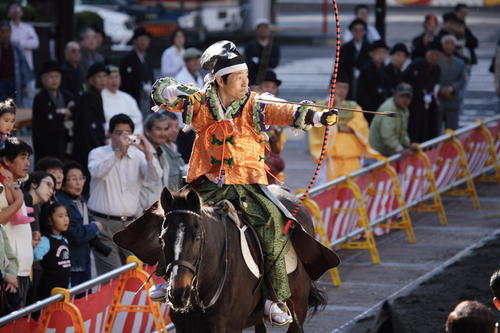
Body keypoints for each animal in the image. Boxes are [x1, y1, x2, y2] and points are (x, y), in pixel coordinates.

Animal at [114, 185, 340, 330]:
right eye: (162, 238)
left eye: (197, 237)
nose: (178, 293)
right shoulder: (185, 326)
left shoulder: (227, 326)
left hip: (298, 305)